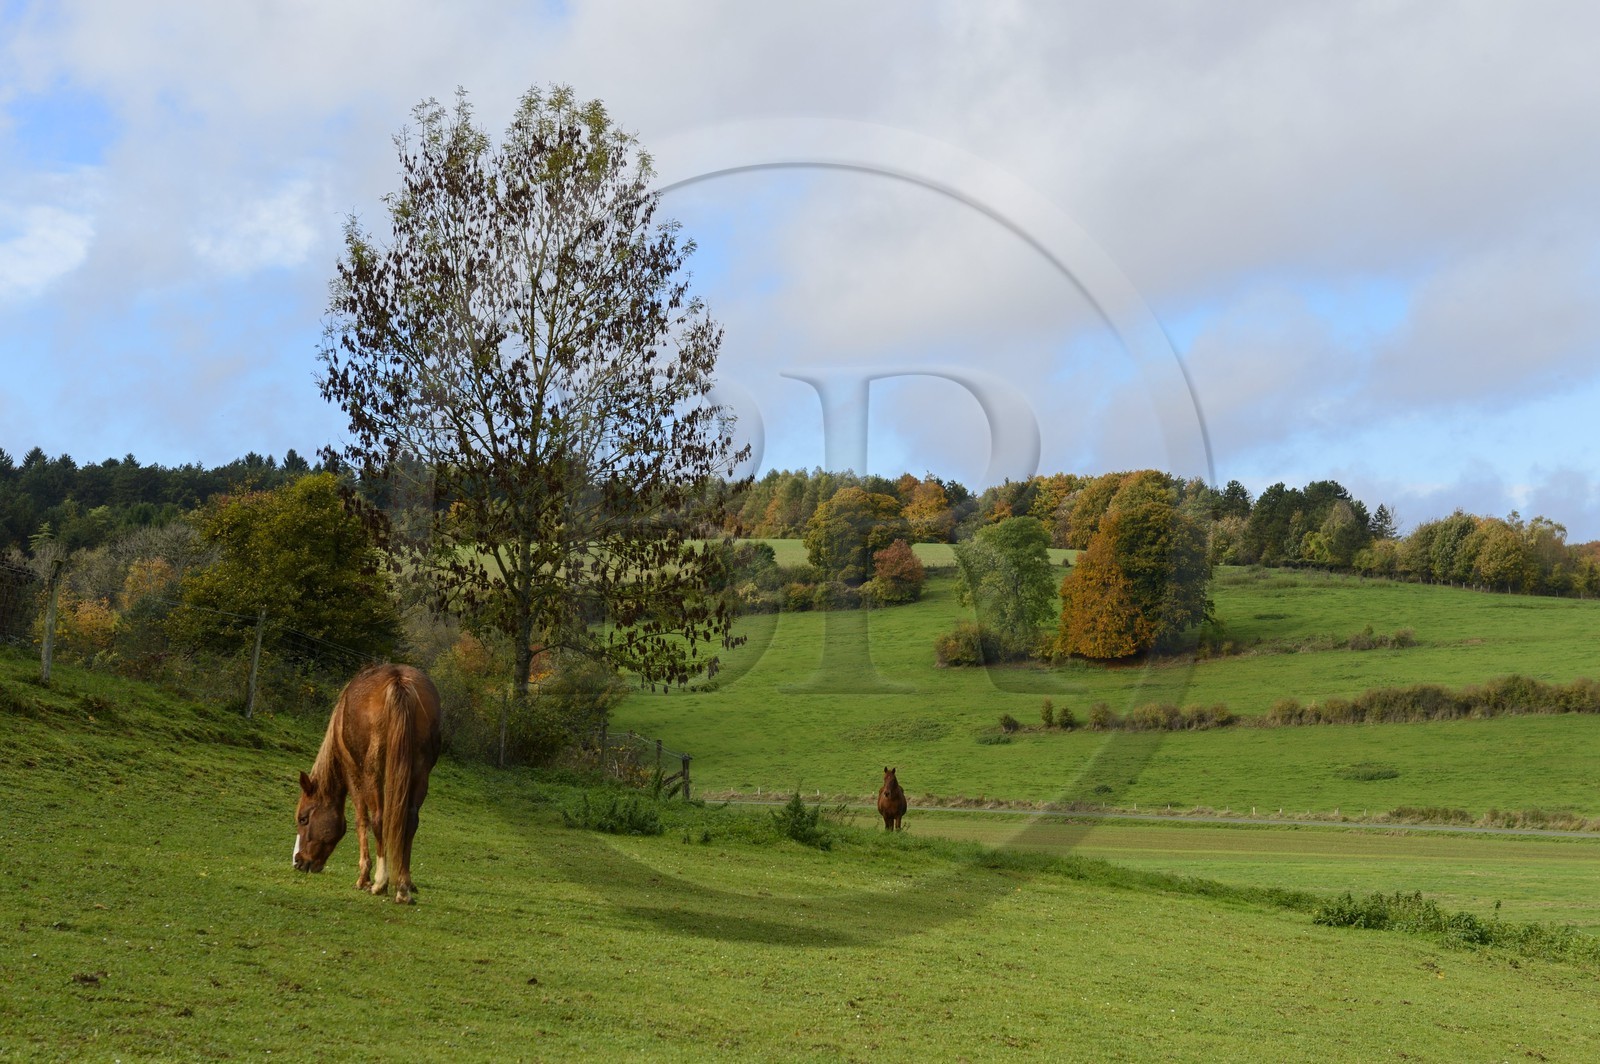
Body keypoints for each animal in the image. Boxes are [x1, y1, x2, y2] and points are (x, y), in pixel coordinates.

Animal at [293, 663, 442, 904]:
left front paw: (364, 878)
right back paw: (403, 887)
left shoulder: (353, 772)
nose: (298, 861)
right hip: (420, 772)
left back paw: (381, 882)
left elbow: (361, 821)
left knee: (378, 818)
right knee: (410, 820)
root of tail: (398, 680)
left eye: (303, 819)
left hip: (373, 773)